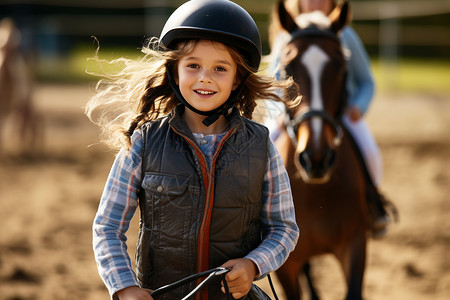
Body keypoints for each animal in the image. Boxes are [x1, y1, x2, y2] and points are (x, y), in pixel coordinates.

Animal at [268, 1, 370, 298]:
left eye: (341, 68)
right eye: (286, 68)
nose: (315, 158)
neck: (316, 193)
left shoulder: (355, 244)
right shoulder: (285, 265)